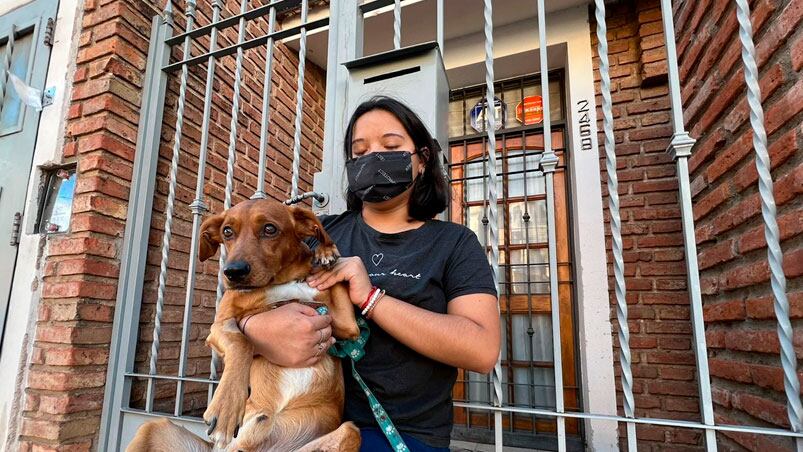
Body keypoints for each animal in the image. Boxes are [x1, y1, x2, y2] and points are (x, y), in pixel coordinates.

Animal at [128, 200, 362, 452]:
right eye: (227, 232)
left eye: (269, 229)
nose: (233, 272)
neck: (281, 282)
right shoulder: (219, 325)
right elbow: (242, 341)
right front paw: (226, 406)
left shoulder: (347, 326)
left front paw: (325, 252)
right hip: (151, 427)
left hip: (348, 431)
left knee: (350, 432)